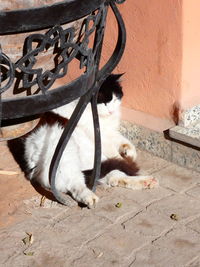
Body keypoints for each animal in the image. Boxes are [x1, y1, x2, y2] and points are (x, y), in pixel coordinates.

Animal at [22, 74, 159, 208]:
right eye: (104, 102)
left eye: (115, 99)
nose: (111, 111)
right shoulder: (100, 136)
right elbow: (115, 150)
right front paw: (126, 158)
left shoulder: (109, 132)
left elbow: (123, 140)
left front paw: (130, 152)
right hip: (62, 155)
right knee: (76, 184)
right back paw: (89, 197)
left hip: (94, 161)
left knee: (113, 176)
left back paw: (146, 181)